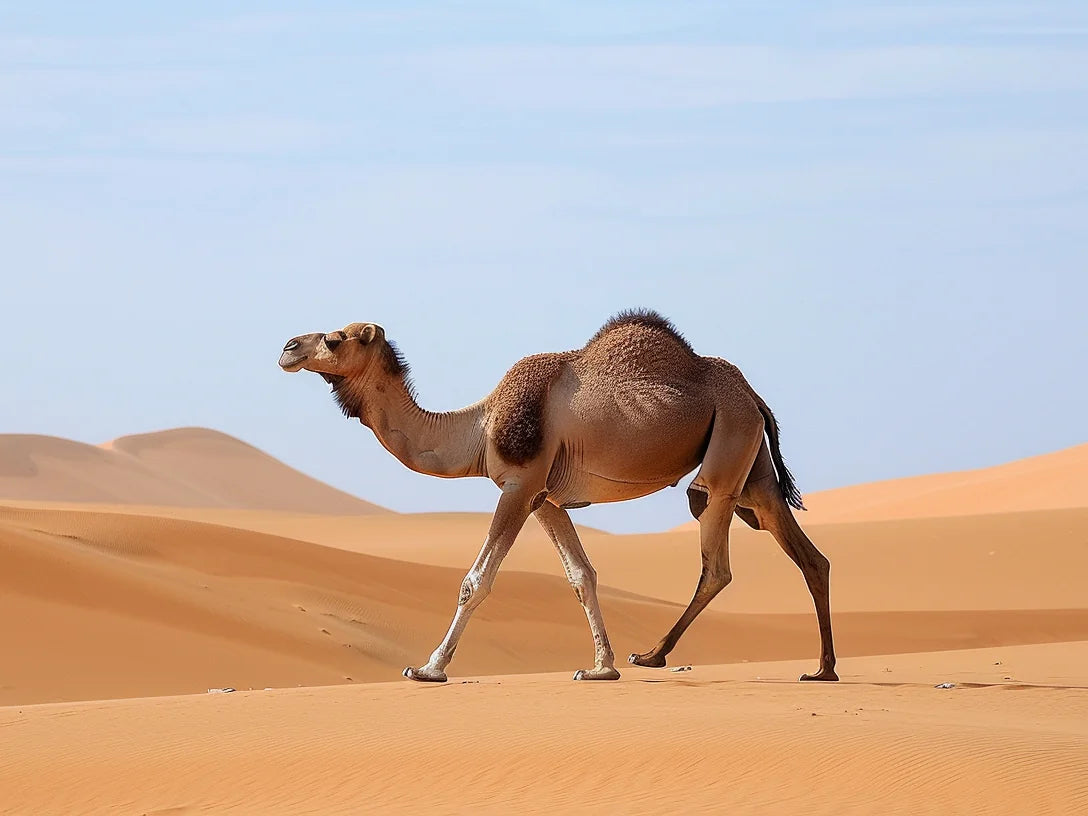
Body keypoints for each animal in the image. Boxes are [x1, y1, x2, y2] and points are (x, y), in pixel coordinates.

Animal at [279, 310, 837, 683]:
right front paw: (602, 668)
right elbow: (581, 575)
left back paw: (654, 656)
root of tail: (754, 396)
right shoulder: (546, 497)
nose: (287, 346)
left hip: (725, 459)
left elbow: (476, 579)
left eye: (334, 338)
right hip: (752, 467)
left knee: (716, 564)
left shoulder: (520, 485)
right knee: (809, 554)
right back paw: (822, 669)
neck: (479, 429)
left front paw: (429, 667)